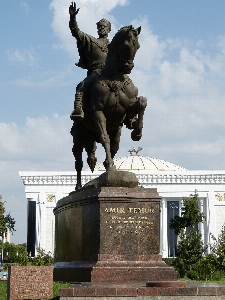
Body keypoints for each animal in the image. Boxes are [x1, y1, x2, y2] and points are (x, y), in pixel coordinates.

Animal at [71, 25, 147, 190]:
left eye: (138, 46)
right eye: (126, 45)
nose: (128, 66)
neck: (114, 77)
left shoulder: (127, 110)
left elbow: (142, 102)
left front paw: (137, 133)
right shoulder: (98, 112)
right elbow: (104, 137)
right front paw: (111, 167)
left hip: (114, 133)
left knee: (113, 147)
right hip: (78, 138)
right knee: (79, 163)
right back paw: (79, 187)